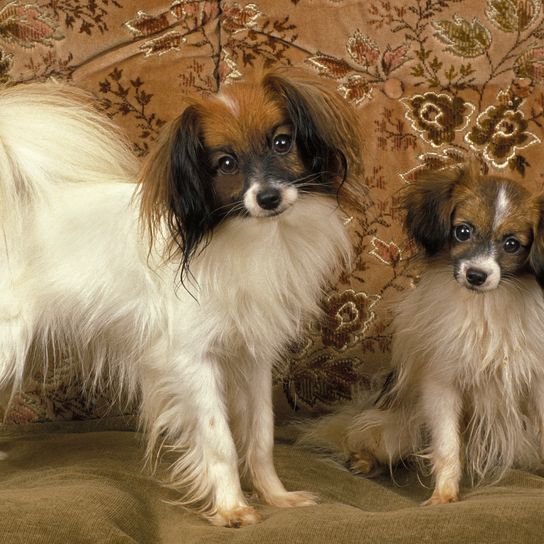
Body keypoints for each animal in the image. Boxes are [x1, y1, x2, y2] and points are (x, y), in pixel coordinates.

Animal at [0, 73, 364, 528]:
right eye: (225, 164)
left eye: (282, 143)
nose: (268, 198)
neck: (250, 239)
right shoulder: (193, 359)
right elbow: (220, 438)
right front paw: (232, 508)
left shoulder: (252, 357)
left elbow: (260, 434)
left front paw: (276, 497)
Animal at [304, 163, 544, 506]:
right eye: (462, 232)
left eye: (511, 244)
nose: (476, 275)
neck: (485, 306)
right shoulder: (442, 384)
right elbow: (446, 445)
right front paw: (444, 496)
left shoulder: (537, 383)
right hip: (394, 430)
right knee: (369, 438)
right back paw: (363, 460)